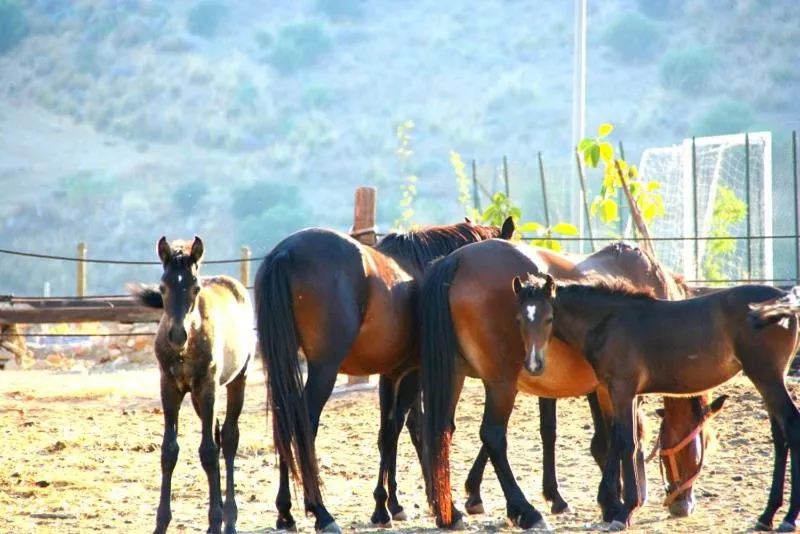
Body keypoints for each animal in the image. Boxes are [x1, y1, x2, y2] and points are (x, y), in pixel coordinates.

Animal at [129, 236, 256, 534]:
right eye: (162, 287)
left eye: (196, 287)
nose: (177, 335)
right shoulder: (169, 388)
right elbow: (169, 451)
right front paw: (161, 523)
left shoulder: (207, 387)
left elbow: (208, 452)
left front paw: (215, 522)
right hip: (199, 399)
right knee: (218, 436)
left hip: (236, 380)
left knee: (229, 439)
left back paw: (229, 518)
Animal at [253, 217, 515, 533]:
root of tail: (286, 252)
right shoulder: (415, 372)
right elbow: (416, 429)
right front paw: (438, 508)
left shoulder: (391, 374)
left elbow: (393, 431)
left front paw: (393, 505)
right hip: (324, 370)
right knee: (303, 426)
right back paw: (322, 513)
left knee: (284, 424)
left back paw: (285, 512)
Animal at [417, 238, 716, 530]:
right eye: (704, 440)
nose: (684, 505)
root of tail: (458, 258)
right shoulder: (619, 389)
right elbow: (618, 436)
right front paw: (614, 502)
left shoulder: (600, 388)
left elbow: (600, 437)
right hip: (501, 384)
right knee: (493, 435)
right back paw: (525, 511)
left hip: (456, 375)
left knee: (442, 432)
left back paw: (451, 513)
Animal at [513, 272, 800, 531]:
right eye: (519, 320)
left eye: (549, 318)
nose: (534, 365)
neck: (608, 321)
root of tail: (782, 299)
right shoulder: (622, 393)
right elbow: (622, 440)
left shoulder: (622, 389)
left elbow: (625, 442)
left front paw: (623, 511)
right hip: (767, 379)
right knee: (780, 436)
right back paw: (767, 516)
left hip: (766, 376)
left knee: (791, 426)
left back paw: (787, 518)